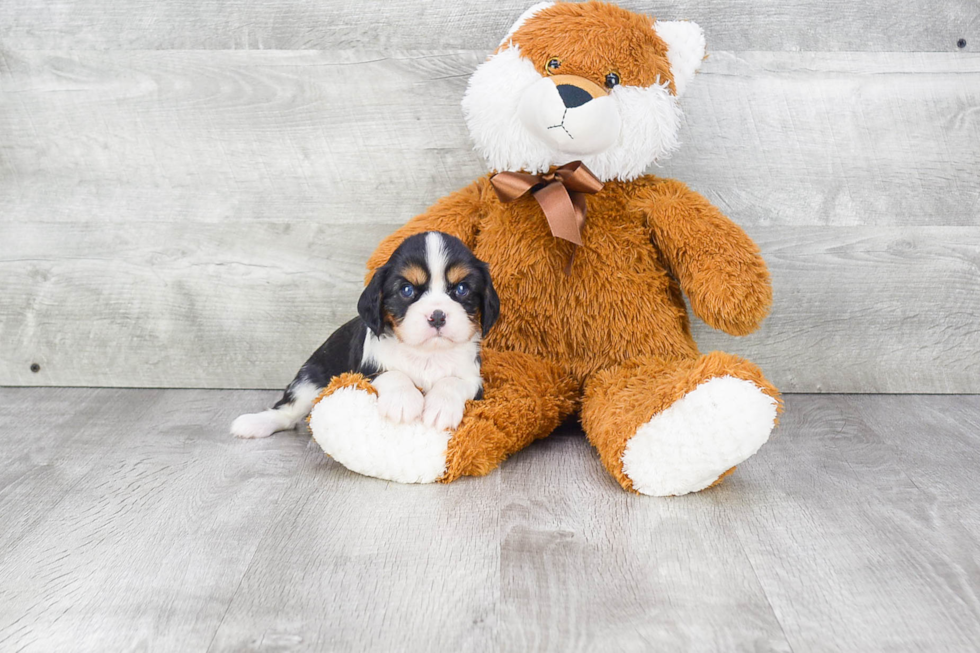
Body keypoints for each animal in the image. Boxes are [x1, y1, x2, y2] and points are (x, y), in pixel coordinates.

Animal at [232, 230, 498, 438]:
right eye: (406, 290)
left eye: (462, 289)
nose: (438, 316)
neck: (427, 354)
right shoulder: (362, 373)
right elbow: (392, 375)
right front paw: (403, 401)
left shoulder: (475, 381)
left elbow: (452, 381)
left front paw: (441, 407)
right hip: (309, 380)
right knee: (287, 411)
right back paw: (253, 423)